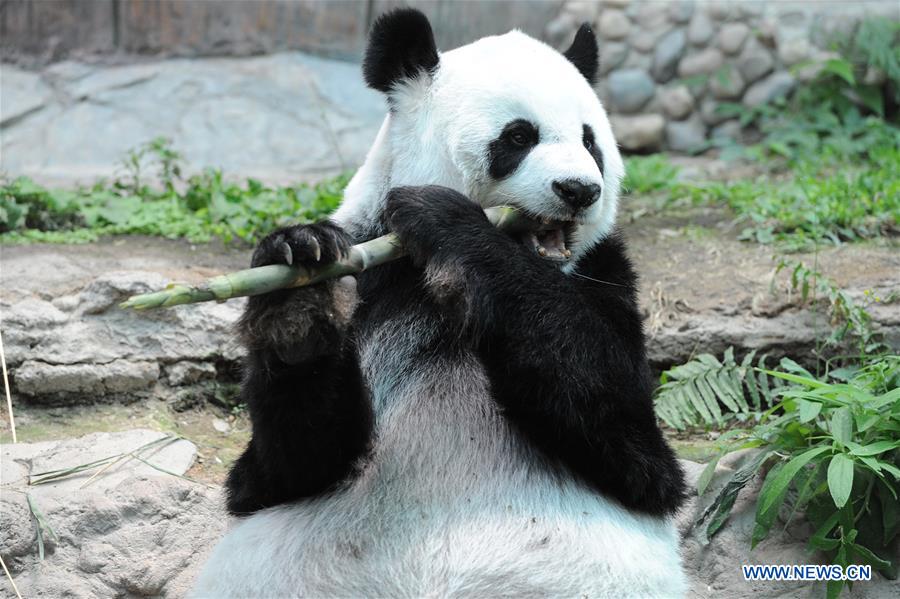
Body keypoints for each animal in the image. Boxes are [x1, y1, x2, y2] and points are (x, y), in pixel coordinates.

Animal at [190, 9, 684, 599]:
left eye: (591, 143)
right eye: (519, 136)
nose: (580, 190)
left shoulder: (604, 272)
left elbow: (627, 432)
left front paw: (448, 221)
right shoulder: (372, 275)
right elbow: (291, 465)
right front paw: (297, 291)